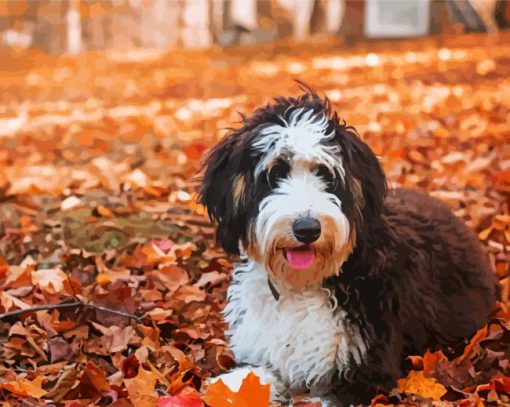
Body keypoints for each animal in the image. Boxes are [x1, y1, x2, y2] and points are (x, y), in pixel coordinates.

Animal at [197, 89, 496, 404]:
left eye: (325, 175)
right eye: (275, 173)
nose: (307, 229)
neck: (303, 285)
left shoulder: (366, 371)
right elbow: (249, 379)